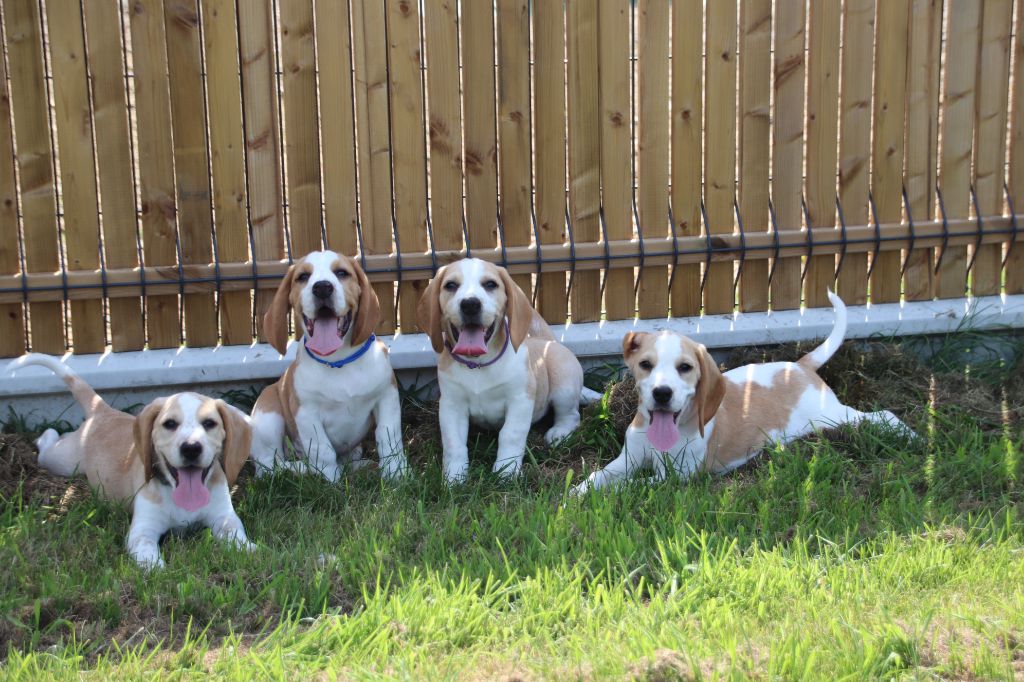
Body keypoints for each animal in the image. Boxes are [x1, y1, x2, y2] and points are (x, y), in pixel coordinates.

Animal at [8, 352, 253, 565]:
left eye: (210, 423)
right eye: (170, 424)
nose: (191, 448)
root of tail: (103, 411)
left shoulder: (224, 517)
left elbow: (237, 535)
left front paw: (250, 550)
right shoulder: (142, 530)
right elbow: (147, 554)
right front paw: (157, 571)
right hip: (62, 461)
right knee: (47, 446)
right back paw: (46, 435)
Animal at [249, 251, 405, 481]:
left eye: (342, 273)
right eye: (303, 277)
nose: (322, 287)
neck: (338, 361)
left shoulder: (387, 396)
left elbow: (389, 437)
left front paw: (397, 473)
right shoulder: (307, 413)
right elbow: (323, 451)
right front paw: (331, 480)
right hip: (269, 418)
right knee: (270, 465)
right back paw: (303, 470)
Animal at [415, 258, 589, 481]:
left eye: (490, 284)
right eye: (450, 285)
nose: (470, 304)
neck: (479, 365)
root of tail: (549, 342)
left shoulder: (520, 400)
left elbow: (510, 435)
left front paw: (506, 472)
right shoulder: (451, 405)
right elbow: (454, 443)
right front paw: (454, 477)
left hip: (563, 387)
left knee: (572, 416)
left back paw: (558, 433)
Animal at [573, 288, 917, 491]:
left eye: (685, 368)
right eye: (646, 364)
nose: (662, 394)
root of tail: (801, 366)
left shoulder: (675, 477)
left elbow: (634, 487)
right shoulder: (627, 461)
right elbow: (596, 478)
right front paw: (574, 498)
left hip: (833, 416)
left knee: (884, 415)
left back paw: (911, 436)